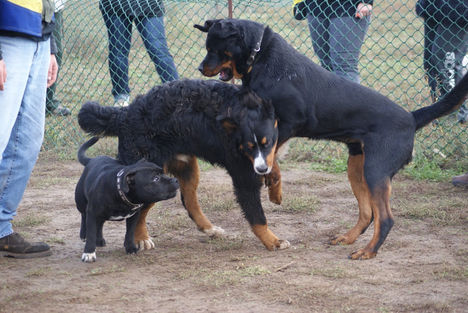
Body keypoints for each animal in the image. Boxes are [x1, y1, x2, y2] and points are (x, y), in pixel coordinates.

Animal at [77, 78, 288, 251]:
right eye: (249, 146)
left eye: (266, 143)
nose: (261, 169)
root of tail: (125, 114)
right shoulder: (243, 175)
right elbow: (257, 217)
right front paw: (273, 241)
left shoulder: (262, 157)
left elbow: (273, 165)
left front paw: (274, 188)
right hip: (151, 179)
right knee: (140, 211)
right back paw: (140, 238)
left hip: (186, 167)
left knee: (189, 201)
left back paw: (209, 229)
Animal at [196, 18, 468, 260]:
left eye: (214, 48)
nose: (200, 68)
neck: (260, 57)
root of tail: (411, 118)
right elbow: (270, 156)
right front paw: (274, 185)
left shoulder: (289, 121)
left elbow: (272, 155)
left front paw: (274, 185)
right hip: (356, 166)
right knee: (368, 213)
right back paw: (348, 238)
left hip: (376, 170)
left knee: (385, 218)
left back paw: (368, 251)